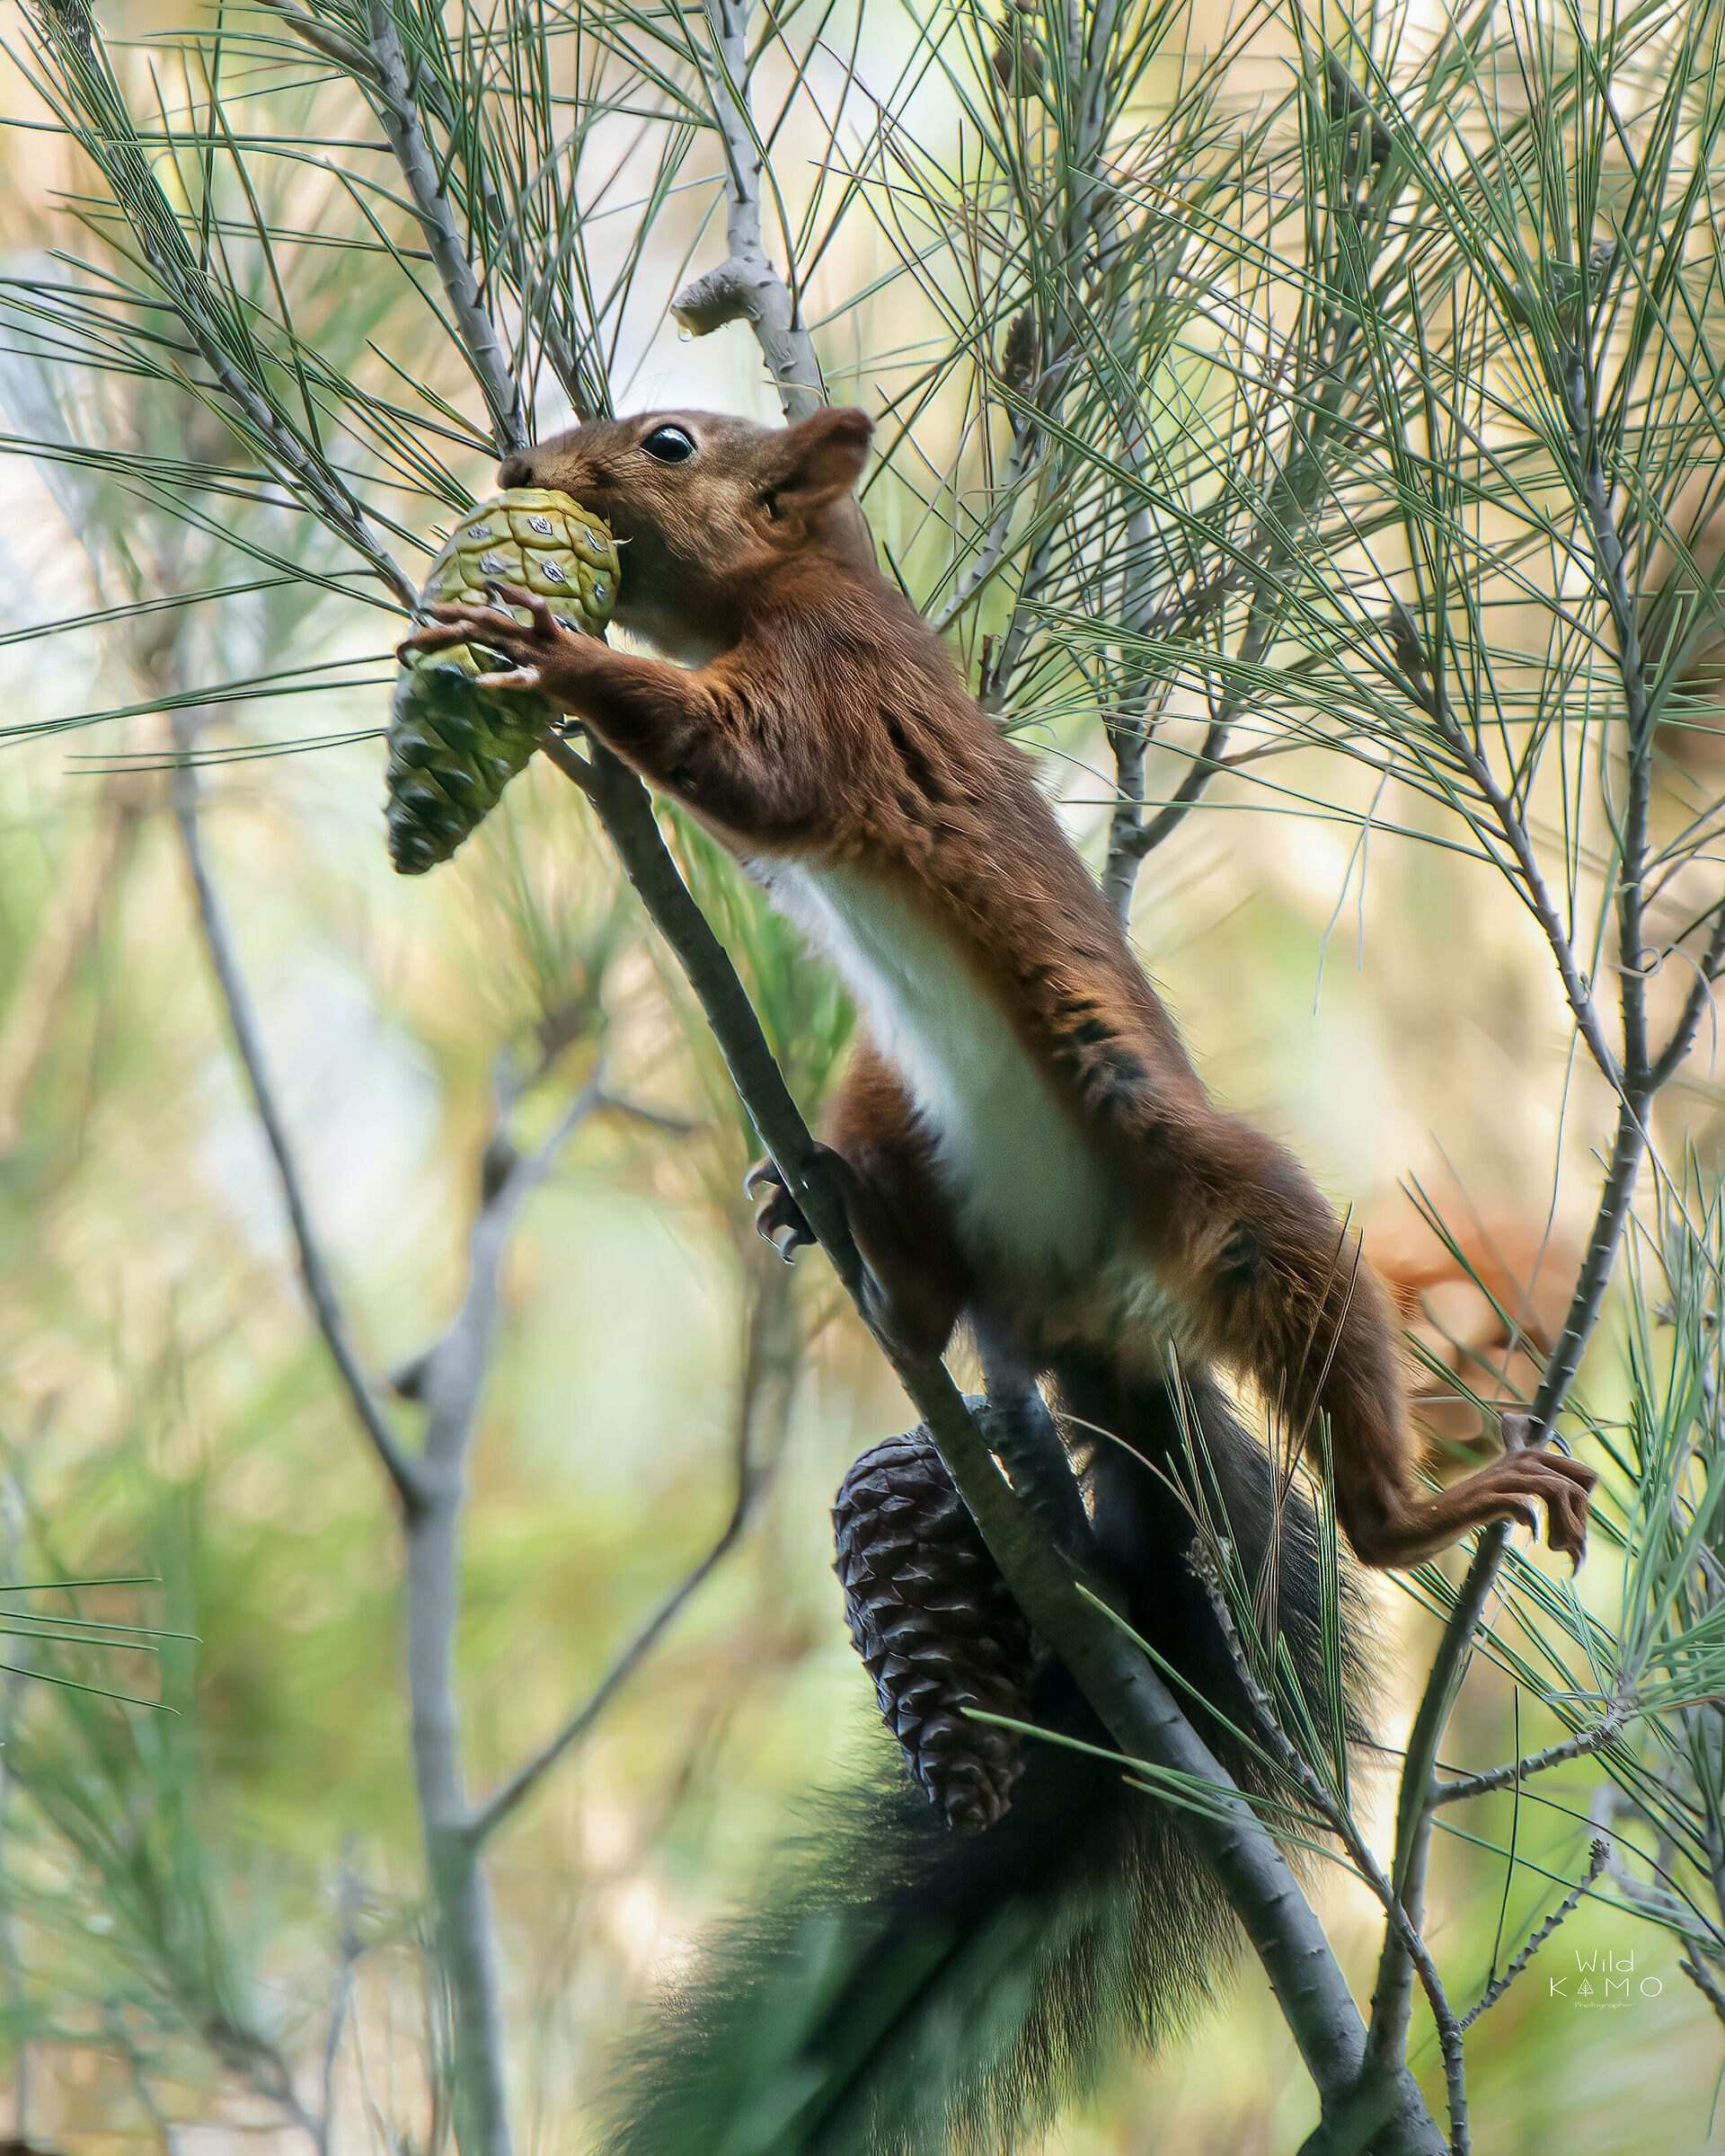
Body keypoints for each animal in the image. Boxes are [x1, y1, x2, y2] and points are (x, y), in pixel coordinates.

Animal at [402, 405, 1598, 2156]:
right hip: (910, 1120)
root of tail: (1099, 1333)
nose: (516, 472)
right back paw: (838, 1226)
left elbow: (744, 771)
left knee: (1326, 1386)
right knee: (918, 1259)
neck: (804, 579)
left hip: (1206, 1183)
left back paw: (1414, 1509)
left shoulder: (832, 688)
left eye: (667, 439)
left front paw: (547, 651)